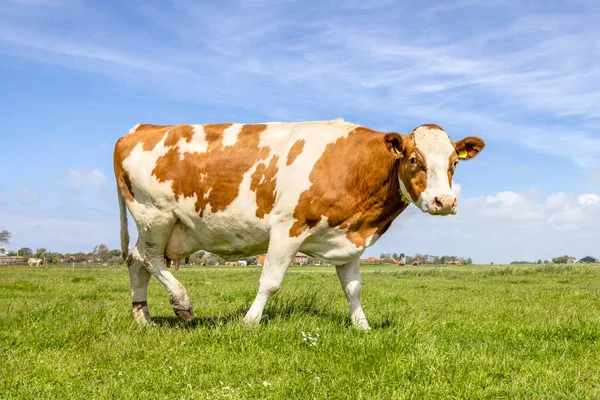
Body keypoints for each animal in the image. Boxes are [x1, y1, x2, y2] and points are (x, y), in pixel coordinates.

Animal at [116, 118, 482, 328]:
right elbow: (270, 282)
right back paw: (182, 303)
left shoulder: (346, 236)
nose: (445, 202)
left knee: (136, 261)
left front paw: (361, 326)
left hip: (163, 226)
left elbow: (353, 288)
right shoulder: (286, 228)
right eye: (415, 159)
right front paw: (249, 323)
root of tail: (140, 129)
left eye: (453, 163)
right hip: (155, 215)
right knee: (150, 259)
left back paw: (142, 317)